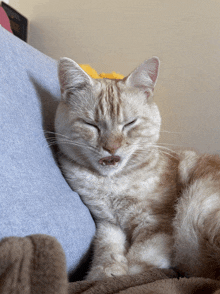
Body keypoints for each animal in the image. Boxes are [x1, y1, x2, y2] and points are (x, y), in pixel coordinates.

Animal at [54, 56, 220, 280]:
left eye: (129, 123)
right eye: (91, 125)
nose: (111, 147)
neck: (112, 184)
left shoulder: (156, 222)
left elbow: (140, 258)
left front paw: (128, 274)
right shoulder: (107, 223)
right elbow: (107, 247)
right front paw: (105, 272)